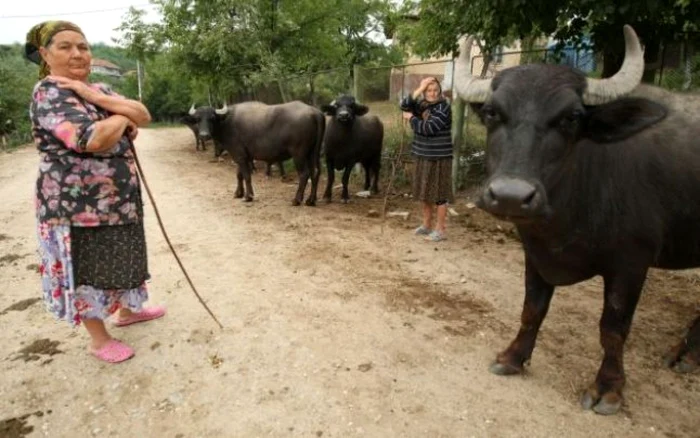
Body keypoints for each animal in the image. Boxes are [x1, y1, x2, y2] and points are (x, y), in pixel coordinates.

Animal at [190, 102, 324, 206]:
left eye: (212, 118)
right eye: (197, 119)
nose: (203, 135)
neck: (227, 122)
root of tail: (314, 112)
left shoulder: (240, 156)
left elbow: (246, 176)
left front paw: (248, 196)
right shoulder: (240, 156)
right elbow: (239, 175)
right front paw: (238, 193)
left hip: (298, 154)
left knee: (304, 174)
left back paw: (296, 200)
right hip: (312, 153)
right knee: (315, 172)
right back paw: (311, 200)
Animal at [454, 25, 700, 416]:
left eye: (571, 117)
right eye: (492, 112)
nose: (510, 195)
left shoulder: (632, 263)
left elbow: (613, 329)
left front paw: (608, 389)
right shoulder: (535, 251)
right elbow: (532, 308)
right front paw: (512, 357)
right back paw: (683, 353)